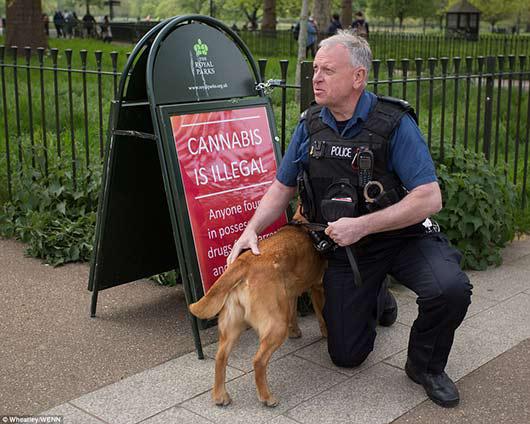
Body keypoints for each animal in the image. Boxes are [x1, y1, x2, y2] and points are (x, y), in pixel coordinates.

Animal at [188, 224, 324, 406]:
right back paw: (267, 397)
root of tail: (244, 263)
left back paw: (220, 395)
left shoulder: (290, 292)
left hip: (232, 326)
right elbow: (322, 318)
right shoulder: (318, 287)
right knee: (259, 361)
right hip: (276, 324)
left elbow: (293, 311)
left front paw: (295, 331)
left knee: (220, 357)